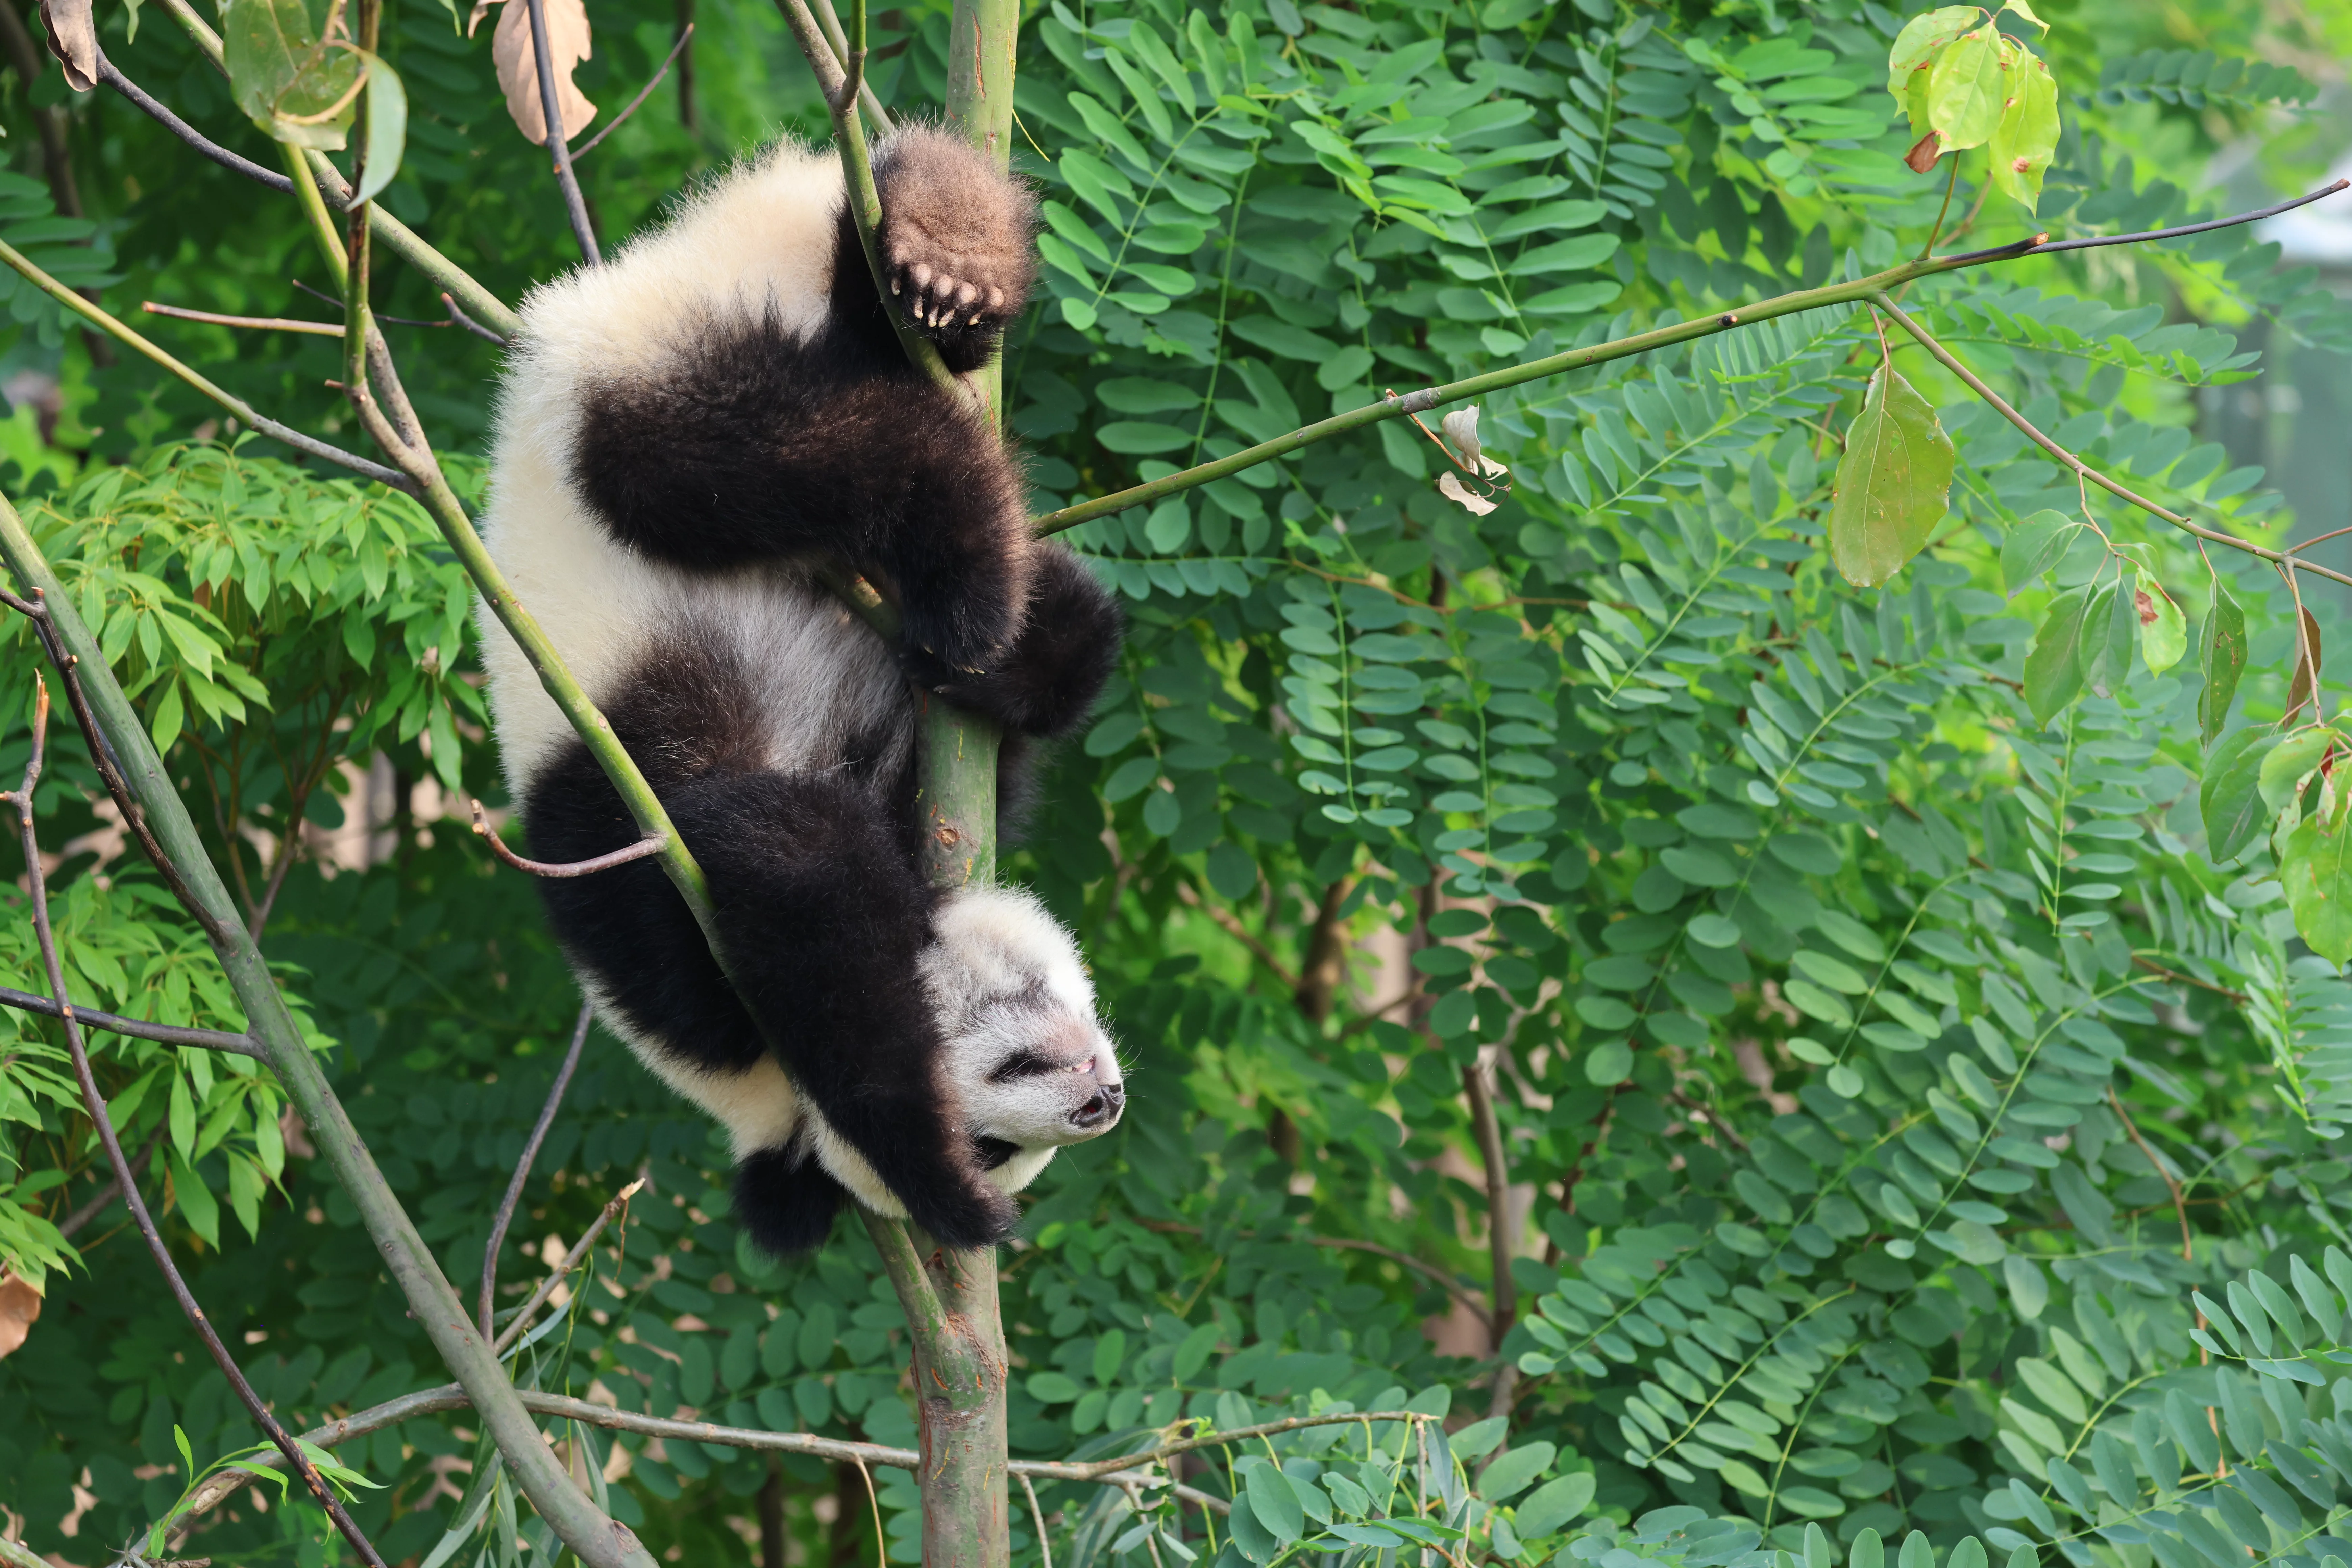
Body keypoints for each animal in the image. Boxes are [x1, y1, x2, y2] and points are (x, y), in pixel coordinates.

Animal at [474, 128, 1126, 1254]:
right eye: (1001, 1138)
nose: (1102, 1099)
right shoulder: (675, 906)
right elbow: (795, 855)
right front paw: (944, 1189)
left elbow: (791, 868)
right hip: (675, 361)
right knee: (825, 419)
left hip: (634, 381)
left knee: (790, 451)